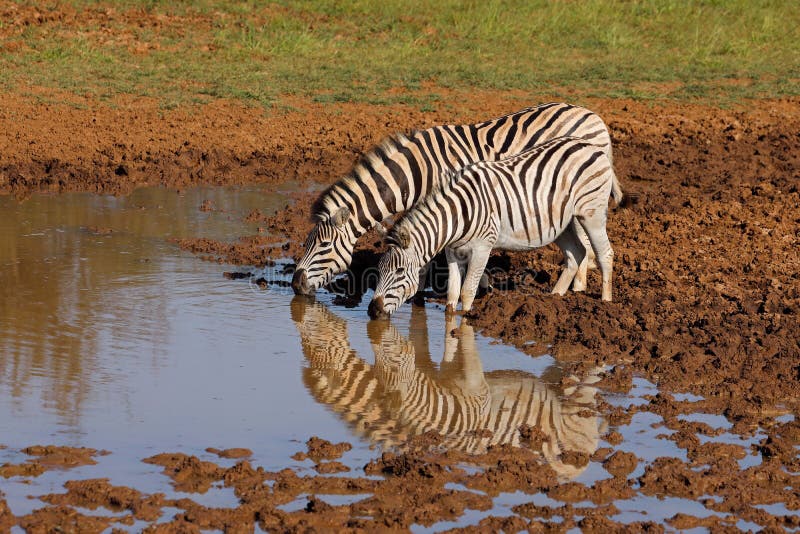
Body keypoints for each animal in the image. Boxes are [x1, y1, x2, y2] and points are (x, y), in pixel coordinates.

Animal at [290, 103, 620, 298]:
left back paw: (581, 285)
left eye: (324, 246)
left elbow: (426, 258)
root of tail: (593, 115)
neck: (417, 173)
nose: (295, 285)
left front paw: (419, 296)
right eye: (306, 243)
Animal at [368, 135, 620, 318]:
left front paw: (464, 322)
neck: (457, 216)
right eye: (379, 269)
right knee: (576, 253)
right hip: (563, 224)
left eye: (399, 271)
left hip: (591, 214)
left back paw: (605, 303)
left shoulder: (482, 248)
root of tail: (589, 145)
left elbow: (467, 292)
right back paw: (553, 298)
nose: (372, 311)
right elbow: (452, 294)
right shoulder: (452, 252)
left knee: (604, 253)